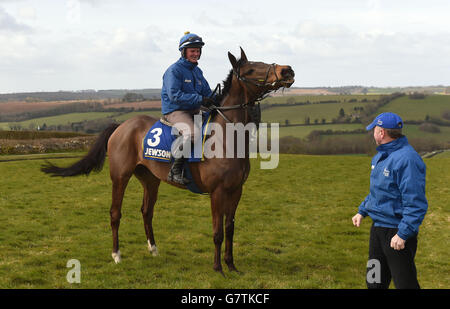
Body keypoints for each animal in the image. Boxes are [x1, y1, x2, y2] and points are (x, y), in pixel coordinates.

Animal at [41, 47, 296, 272]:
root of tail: (121, 125)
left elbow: (230, 229)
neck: (226, 138)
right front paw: (218, 268)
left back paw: (153, 250)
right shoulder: (217, 192)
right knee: (115, 213)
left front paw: (232, 266)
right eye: (251, 69)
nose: (287, 70)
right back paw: (116, 255)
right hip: (120, 177)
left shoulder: (236, 191)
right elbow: (217, 233)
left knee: (146, 211)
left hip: (150, 179)